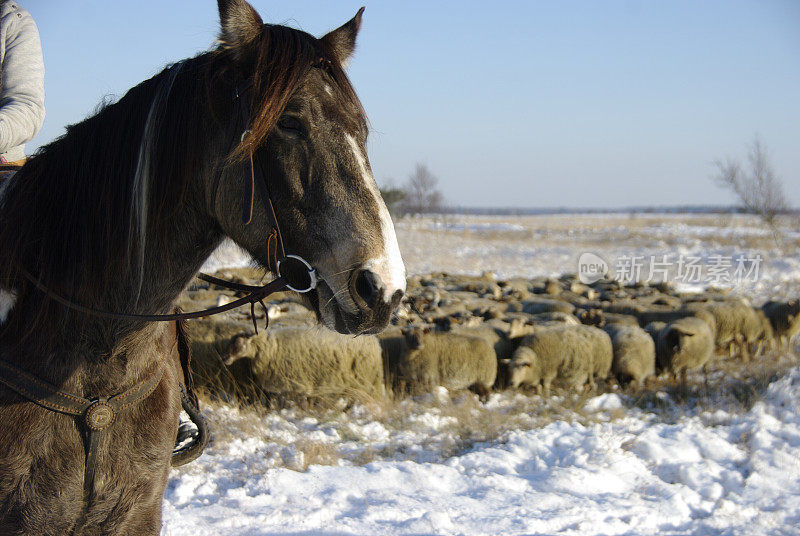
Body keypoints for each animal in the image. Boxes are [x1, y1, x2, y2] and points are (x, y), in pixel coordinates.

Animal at [227, 326, 386, 402]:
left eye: (238, 344)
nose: (224, 358)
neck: (271, 348)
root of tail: (375, 342)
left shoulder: (292, 384)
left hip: (366, 378)